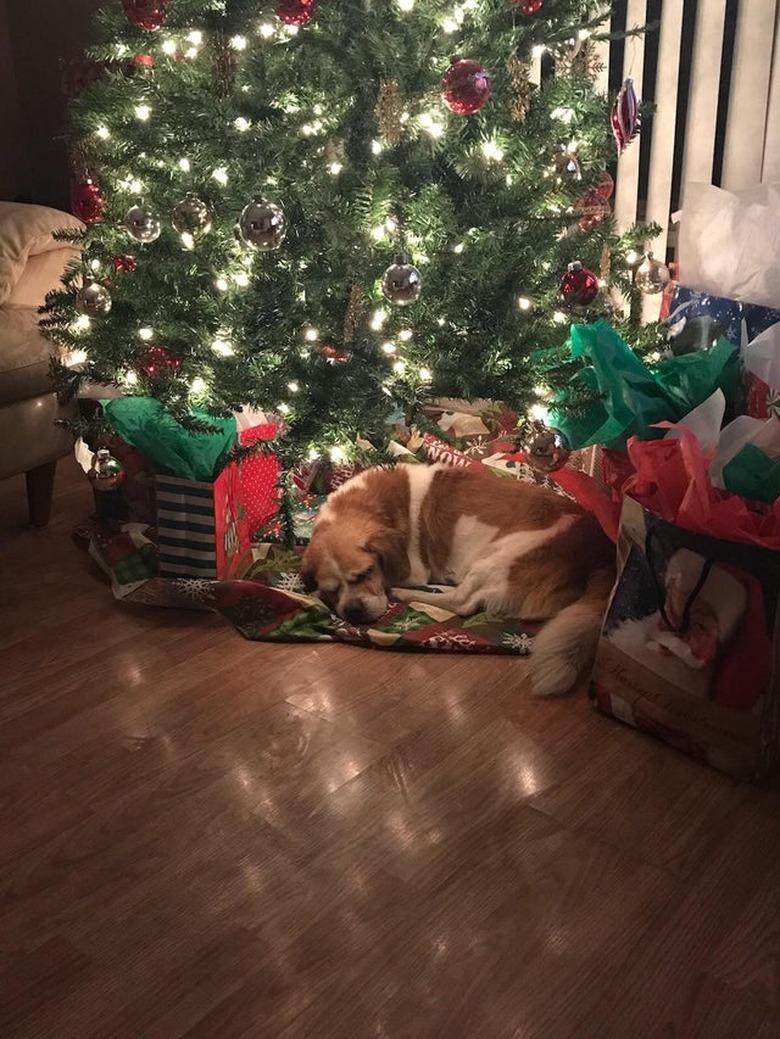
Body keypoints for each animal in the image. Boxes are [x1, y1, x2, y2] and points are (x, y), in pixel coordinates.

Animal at [299, 465, 614, 698]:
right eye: (331, 590)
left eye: (365, 574)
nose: (353, 611)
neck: (381, 505)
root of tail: (602, 553)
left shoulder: (414, 569)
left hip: (502, 552)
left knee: (463, 602)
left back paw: (407, 593)